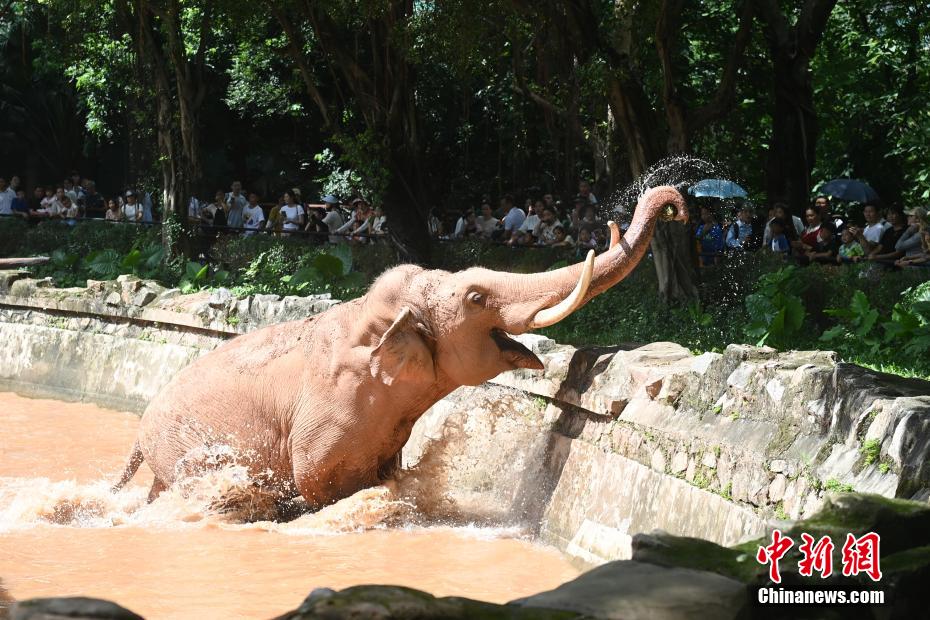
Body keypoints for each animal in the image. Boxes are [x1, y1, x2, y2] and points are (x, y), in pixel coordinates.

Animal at [110, 186, 688, 512]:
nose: (679, 209)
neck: (374, 319)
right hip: (180, 450)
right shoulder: (330, 418)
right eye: (476, 298)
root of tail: (138, 432)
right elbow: (315, 487)